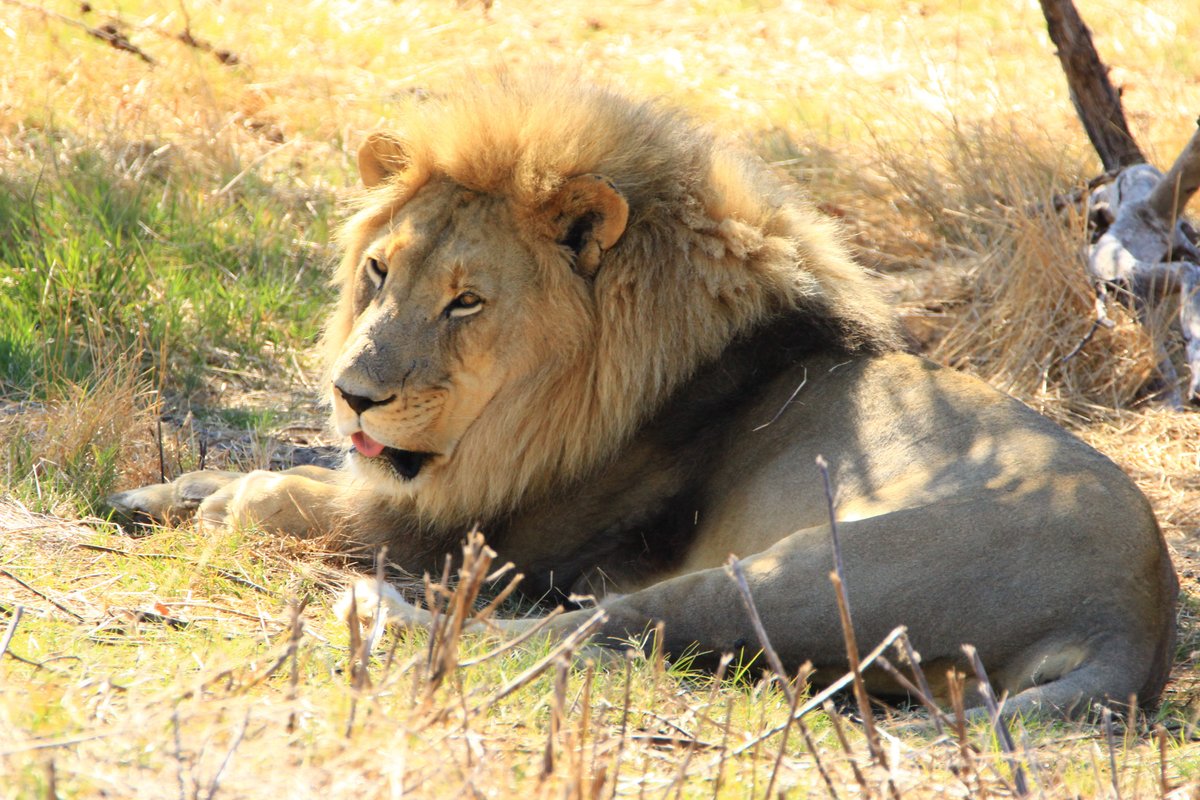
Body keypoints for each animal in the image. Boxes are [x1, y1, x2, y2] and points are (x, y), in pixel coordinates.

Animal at [108, 74, 1176, 719]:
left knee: (575, 631)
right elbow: (273, 470)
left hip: (795, 572)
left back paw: (380, 610)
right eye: (378, 272)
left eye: (465, 301)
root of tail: (1137, 619)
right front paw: (146, 493)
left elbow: (292, 497)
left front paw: (217, 504)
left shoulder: (488, 532)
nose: (352, 395)